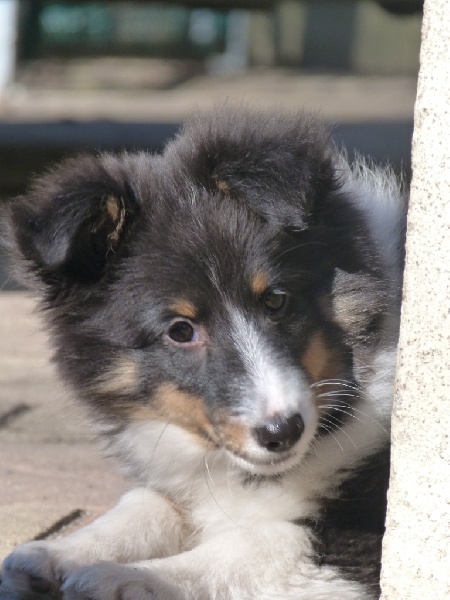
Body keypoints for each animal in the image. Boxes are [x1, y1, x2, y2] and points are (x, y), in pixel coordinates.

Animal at [0, 108, 408, 600]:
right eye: (181, 330)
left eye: (275, 301)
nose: (283, 432)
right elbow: (149, 503)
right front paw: (55, 552)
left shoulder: (361, 537)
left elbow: (260, 544)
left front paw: (121, 576)